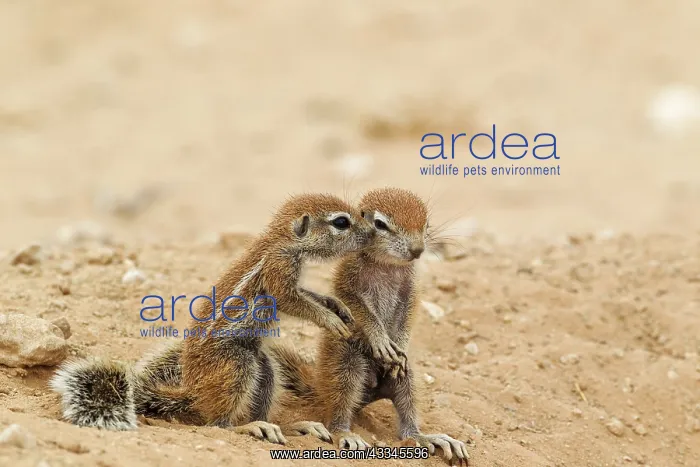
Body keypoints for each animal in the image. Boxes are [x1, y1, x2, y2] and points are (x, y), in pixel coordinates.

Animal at [51, 193, 374, 445]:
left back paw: (291, 426)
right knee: (218, 423)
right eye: (341, 222)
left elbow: (307, 294)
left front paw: (336, 305)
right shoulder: (278, 269)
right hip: (236, 363)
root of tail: (192, 391)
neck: (281, 242)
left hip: (264, 365)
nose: (370, 232)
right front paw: (329, 319)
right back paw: (250, 426)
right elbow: (291, 300)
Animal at [271, 187, 470, 465]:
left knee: (407, 417)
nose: (418, 250)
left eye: (426, 223)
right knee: (338, 410)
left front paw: (399, 342)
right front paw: (380, 339)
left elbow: (409, 314)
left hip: (405, 377)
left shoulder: (411, 288)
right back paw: (345, 432)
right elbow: (361, 310)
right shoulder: (347, 279)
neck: (387, 265)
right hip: (347, 365)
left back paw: (425, 437)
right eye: (380, 224)